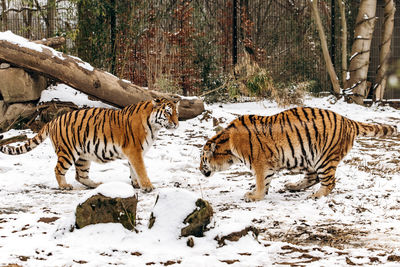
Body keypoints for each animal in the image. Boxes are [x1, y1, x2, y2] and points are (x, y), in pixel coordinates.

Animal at [0, 97, 178, 192]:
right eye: (168, 112)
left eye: (176, 113)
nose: (176, 124)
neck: (154, 126)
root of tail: (53, 120)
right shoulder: (134, 151)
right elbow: (141, 169)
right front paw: (147, 186)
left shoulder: (134, 153)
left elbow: (133, 170)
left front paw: (136, 184)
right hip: (67, 152)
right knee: (58, 169)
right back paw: (64, 186)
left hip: (83, 156)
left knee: (80, 175)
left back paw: (95, 185)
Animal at [200, 106, 396, 201]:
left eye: (202, 160)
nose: (200, 170)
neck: (228, 146)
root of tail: (348, 121)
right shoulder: (267, 165)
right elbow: (265, 182)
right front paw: (257, 193)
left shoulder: (261, 163)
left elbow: (261, 181)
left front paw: (255, 196)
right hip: (310, 158)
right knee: (313, 178)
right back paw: (292, 186)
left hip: (325, 158)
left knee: (329, 182)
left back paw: (315, 196)